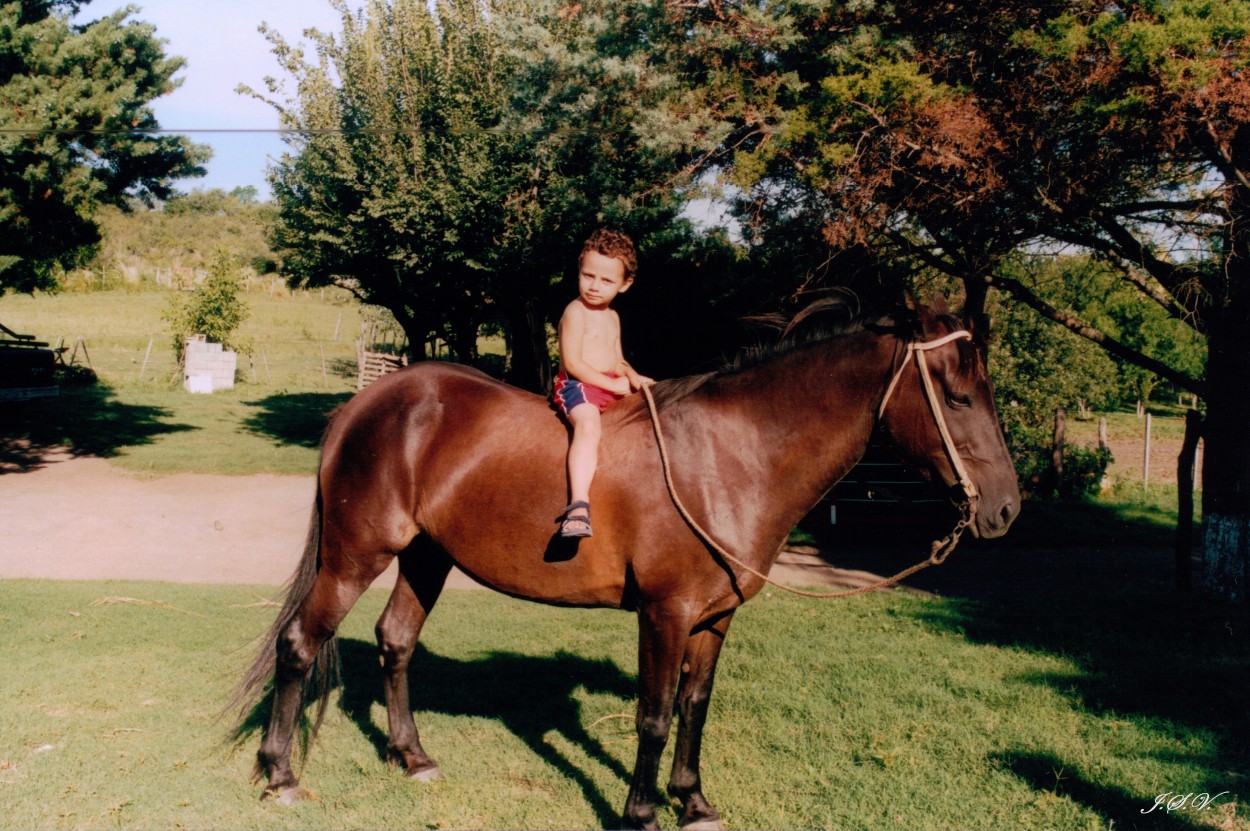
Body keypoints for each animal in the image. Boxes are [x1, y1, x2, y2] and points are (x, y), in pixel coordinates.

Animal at [232, 296, 1015, 824]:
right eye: (956, 395)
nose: (1006, 508)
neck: (730, 456)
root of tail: (367, 402)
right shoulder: (664, 614)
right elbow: (654, 715)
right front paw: (641, 812)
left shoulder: (714, 618)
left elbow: (695, 707)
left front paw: (693, 801)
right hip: (356, 553)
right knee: (299, 643)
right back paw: (281, 774)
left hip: (427, 556)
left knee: (395, 642)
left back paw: (413, 757)